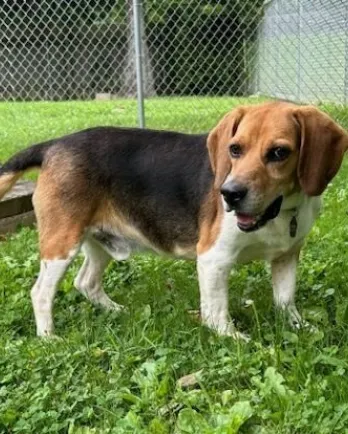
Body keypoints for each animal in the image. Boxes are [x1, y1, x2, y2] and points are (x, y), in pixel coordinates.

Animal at [0, 101, 346, 340]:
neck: (281, 209)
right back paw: (49, 338)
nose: (229, 194)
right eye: (235, 149)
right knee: (41, 293)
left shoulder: (287, 255)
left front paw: (299, 327)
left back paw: (115, 311)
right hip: (62, 242)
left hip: (98, 240)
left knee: (86, 282)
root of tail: (54, 143)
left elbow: (285, 300)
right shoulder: (214, 259)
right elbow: (216, 311)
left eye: (279, 153)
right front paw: (232, 338)